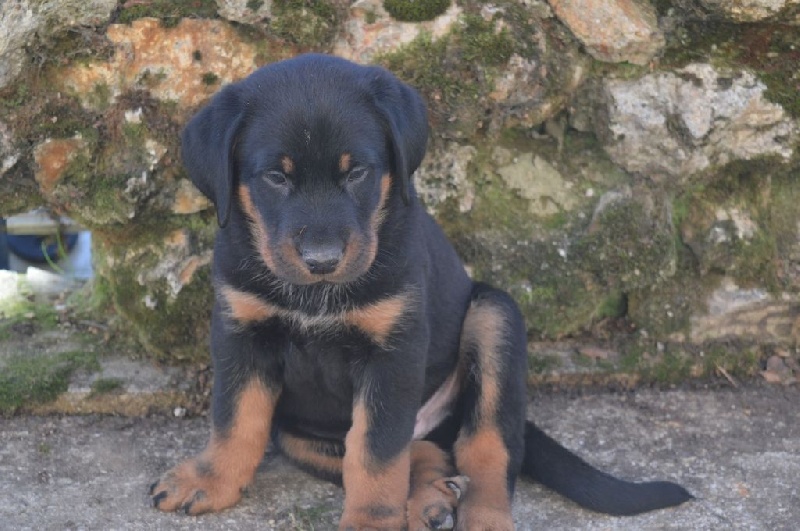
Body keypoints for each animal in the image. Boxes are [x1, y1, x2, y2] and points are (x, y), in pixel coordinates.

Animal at [152, 55, 692, 531]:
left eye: (357, 172)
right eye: (275, 176)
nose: (323, 260)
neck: (316, 298)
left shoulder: (393, 353)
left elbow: (375, 455)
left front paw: (371, 523)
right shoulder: (241, 332)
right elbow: (235, 420)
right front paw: (209, 480)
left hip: (495, 316)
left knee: (485, 450)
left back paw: (479, 515)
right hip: (298, 433)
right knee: (419, 452)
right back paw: (431, 496)